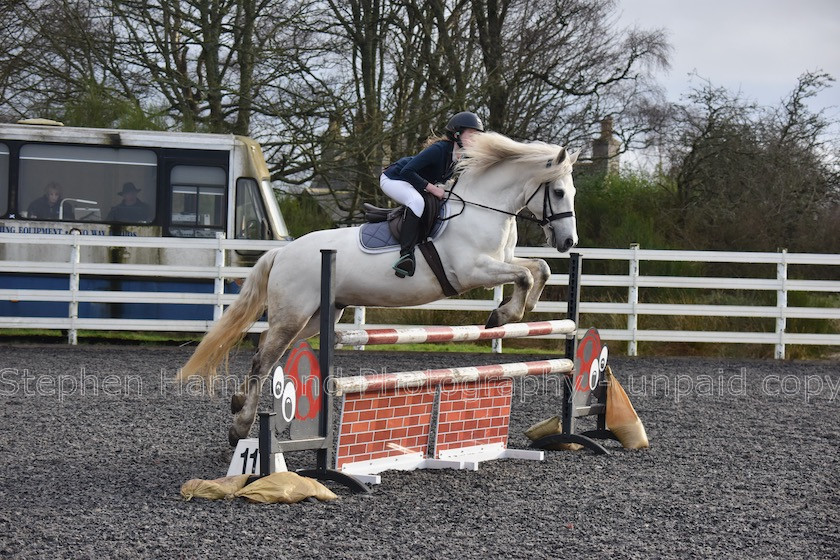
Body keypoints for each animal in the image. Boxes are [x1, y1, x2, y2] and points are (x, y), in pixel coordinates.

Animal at [177, 133, 576, 444]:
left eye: (571, 191)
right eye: (558, 192)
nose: (568, 242)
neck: (484, 209)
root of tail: (283, 251)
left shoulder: (502, 260)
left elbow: (539, 269)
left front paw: (521, 310)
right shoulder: (472, 270)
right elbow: (524, 276)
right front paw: (503, 315)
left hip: (316, 316)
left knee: (266, 350)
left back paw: (237, 404)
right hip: (294, 314)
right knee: (264, 358)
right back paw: (239, 429)